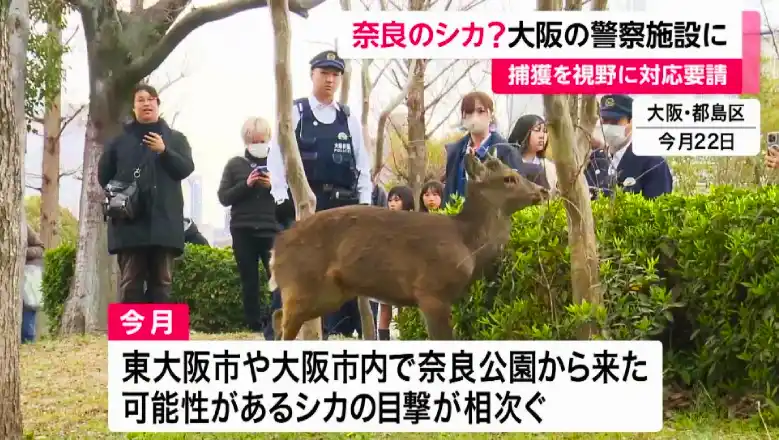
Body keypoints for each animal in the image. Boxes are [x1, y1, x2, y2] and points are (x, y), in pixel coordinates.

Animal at [268, 151, 551, 340]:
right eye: (509, 178)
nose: (543, 191)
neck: (467, 244)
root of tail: (275, 249)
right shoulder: (430, 291)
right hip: (301, 283)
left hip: (328, 293)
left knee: (278, 317)